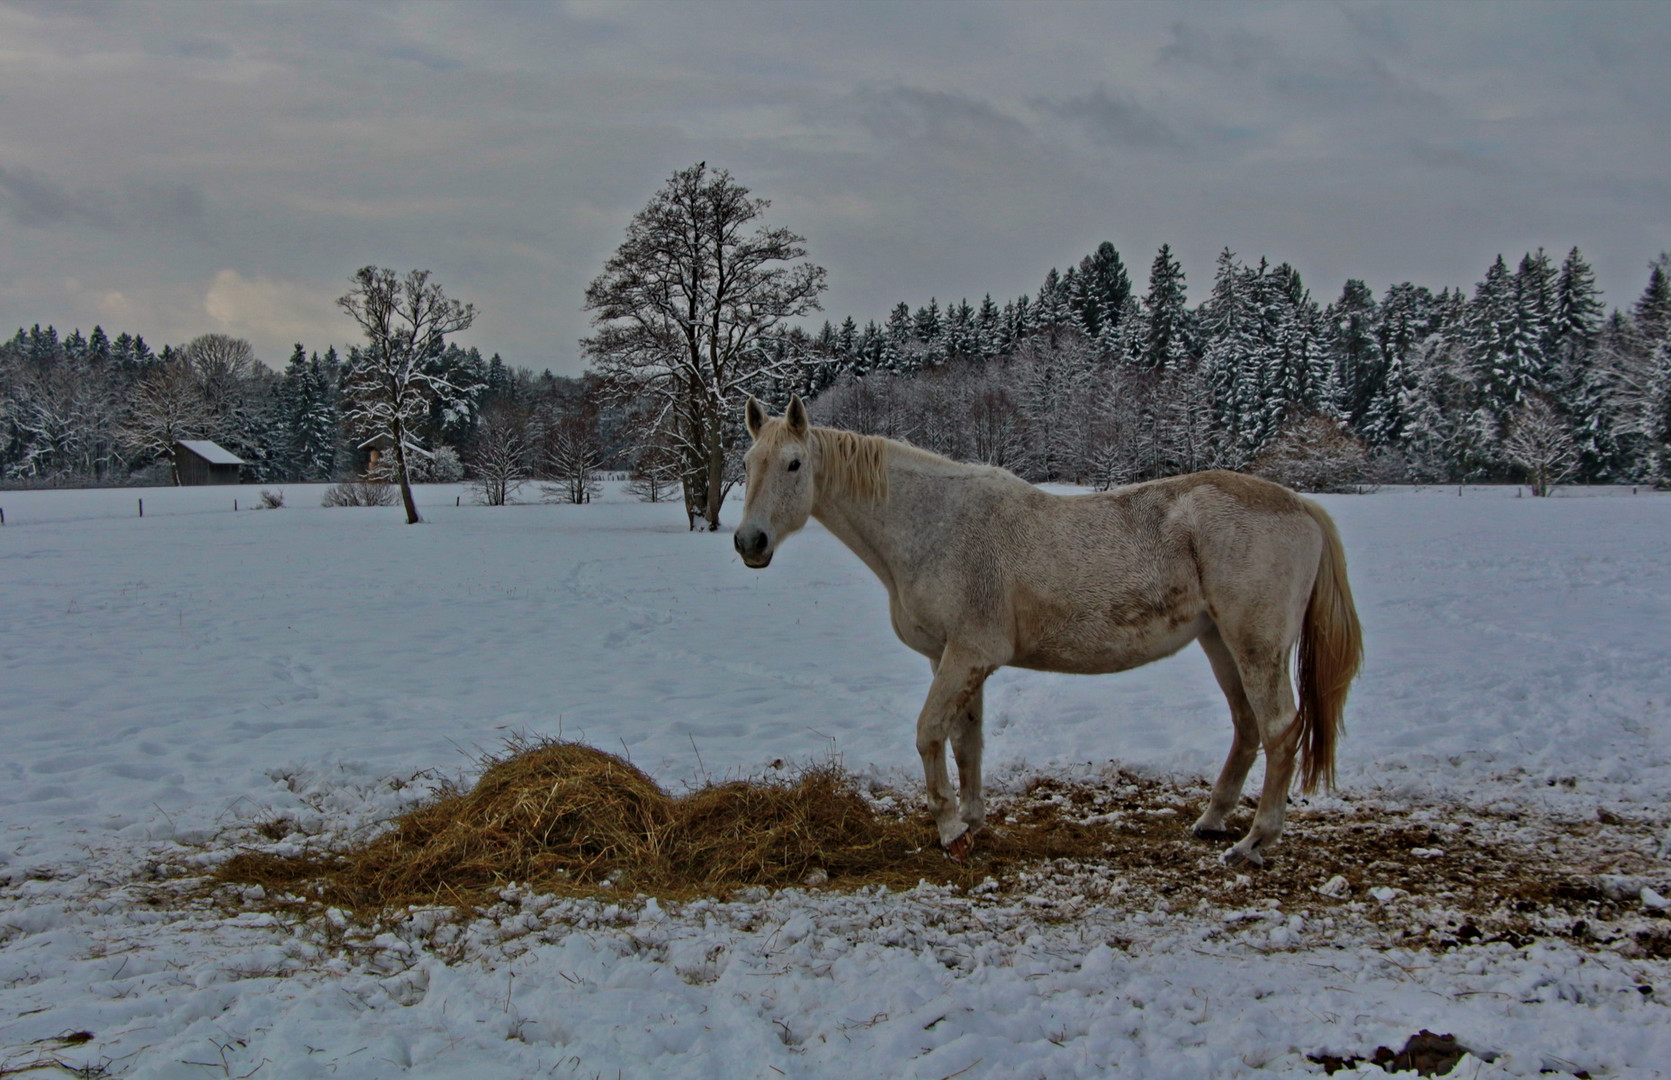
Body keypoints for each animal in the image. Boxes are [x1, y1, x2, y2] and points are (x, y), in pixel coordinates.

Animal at [738, 397, 1363, 869]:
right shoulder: (955, 658)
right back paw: (1211, 822)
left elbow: (928, 734)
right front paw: (973, 821)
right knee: (1247, 726)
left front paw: (949, 830)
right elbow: (965, 743)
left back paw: (1254, 842)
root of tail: (1299, 504)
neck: (934, 526)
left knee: (1280, 731)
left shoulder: (969, 655)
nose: (750, 542)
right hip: (1219, 643)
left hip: (1256, 646)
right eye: (746, 462)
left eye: (793, 464)